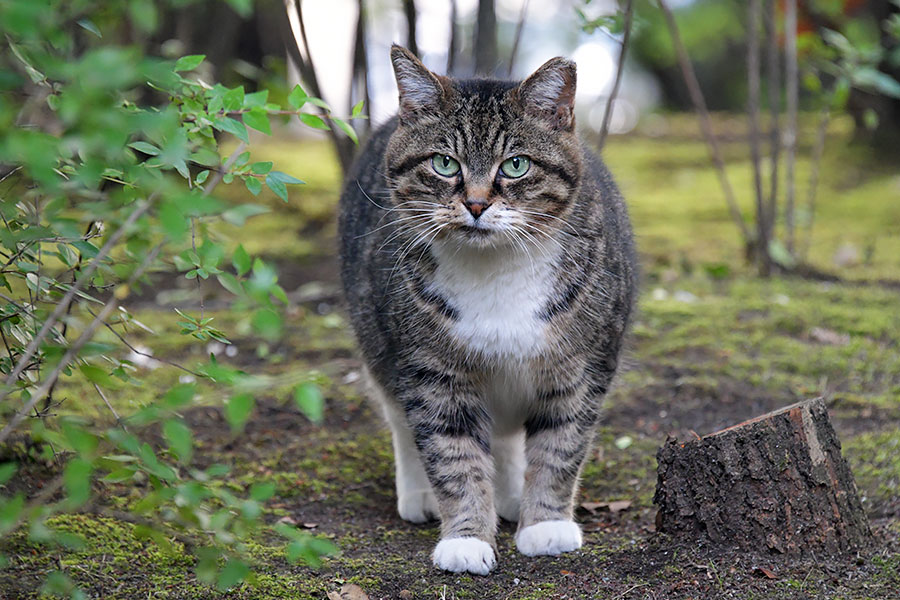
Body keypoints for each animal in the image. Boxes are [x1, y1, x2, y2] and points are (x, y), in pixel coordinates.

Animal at [338, 44, 640, 576]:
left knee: (507, 435)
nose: (476, 204)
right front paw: (465, 537)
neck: (496, 270)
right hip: (377, 339)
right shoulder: (431, 371)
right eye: (444, 163)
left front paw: (545, 525)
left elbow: (560, 447)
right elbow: (453, 455)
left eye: (515, 165)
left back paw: (513, 495)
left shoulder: (581, 367)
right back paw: (420, 494)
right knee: (401, 421)